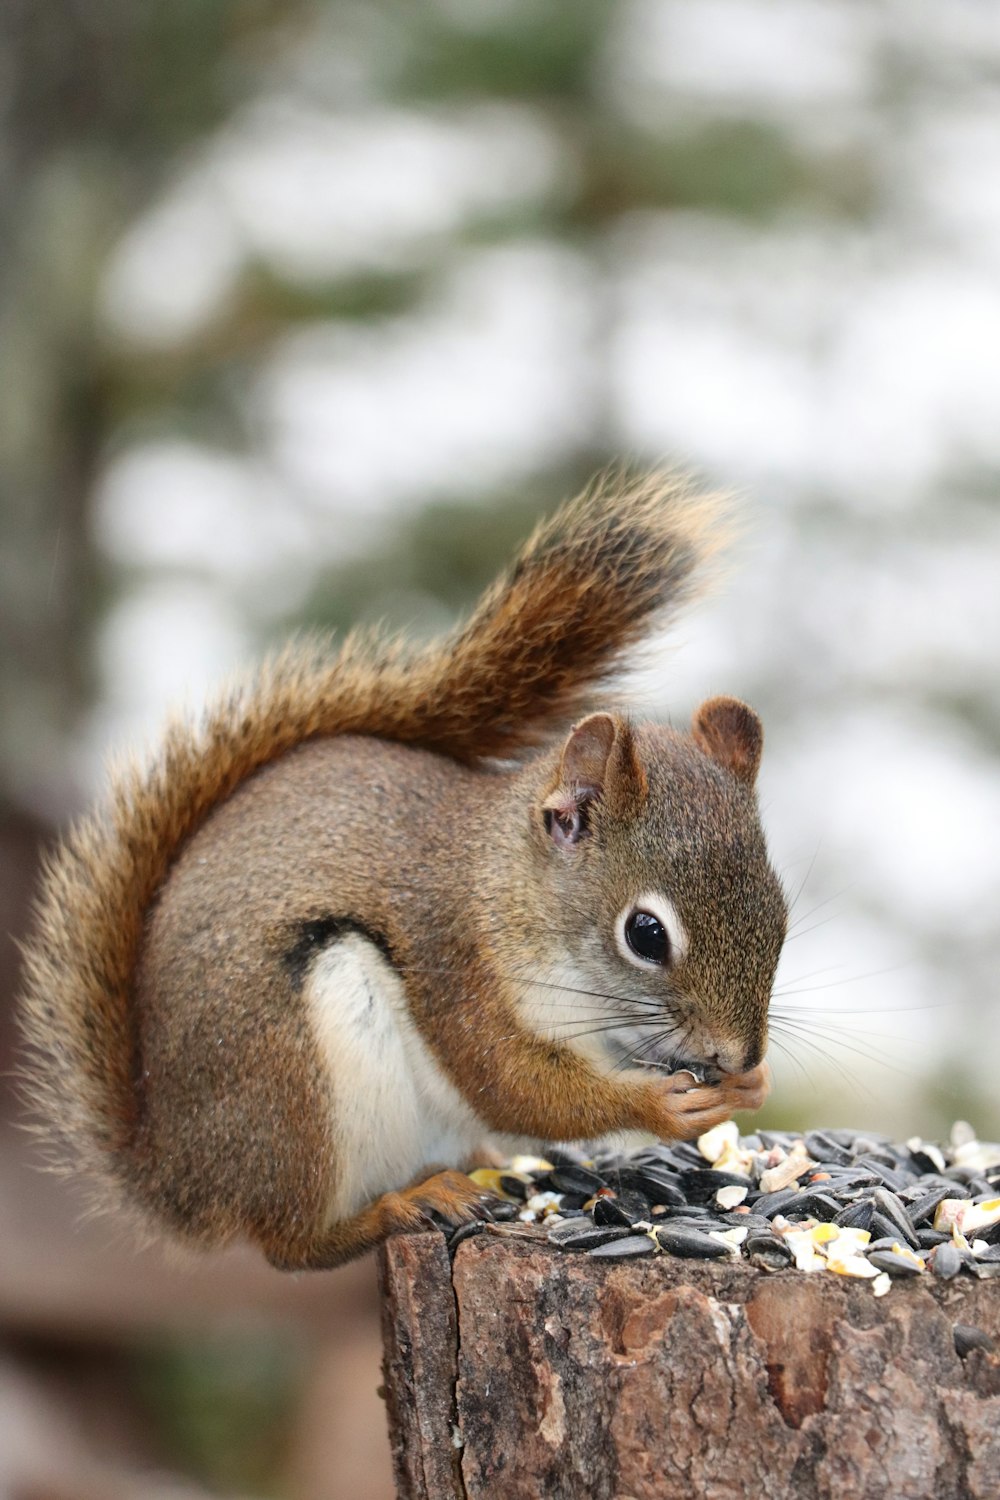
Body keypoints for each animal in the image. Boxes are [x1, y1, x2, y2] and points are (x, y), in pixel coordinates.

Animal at [13, 474, 779, 1272]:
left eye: (780, 910)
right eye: (646, 934)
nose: (740, 1051)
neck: (508, 892)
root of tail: (178, 1178)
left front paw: (751, 1084)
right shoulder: (453, 962)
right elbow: (513, 1086)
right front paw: (660, 1106)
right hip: (297, 1081)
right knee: (290, 1244)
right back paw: (398, 1206)